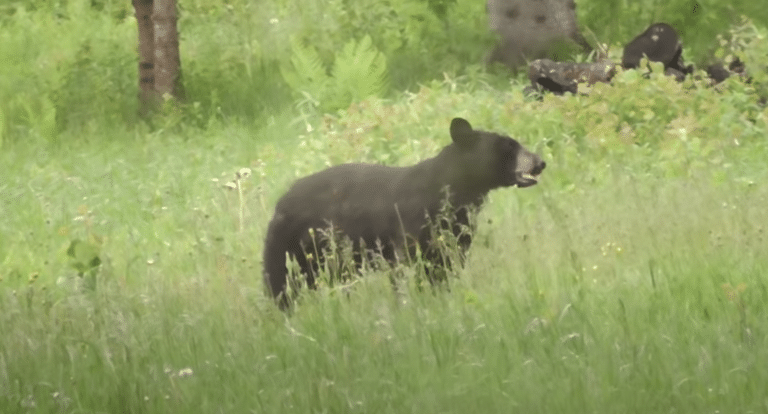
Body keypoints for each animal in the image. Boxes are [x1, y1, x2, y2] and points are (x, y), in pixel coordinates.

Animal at [264, 118, 544, 308]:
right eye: (508, 146)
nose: (540, 163)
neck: (455, 192)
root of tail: (280, 203)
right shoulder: (410, 225)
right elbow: (405, 267)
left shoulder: (457, 231)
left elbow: (447, 266)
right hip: (297, 247)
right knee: (282, 283)